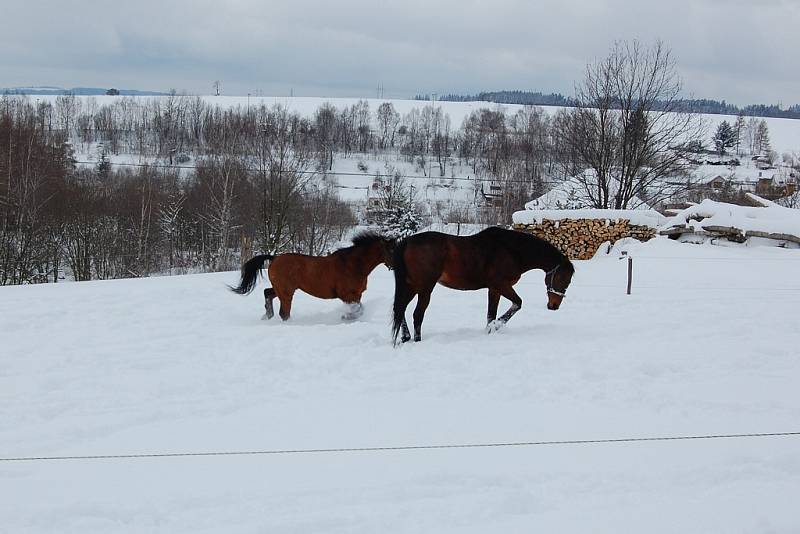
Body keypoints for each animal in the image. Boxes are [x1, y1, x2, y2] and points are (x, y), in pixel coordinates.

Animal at [230, 231, 396, 322]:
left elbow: (359, 309)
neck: (353, 264)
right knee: (284, 313)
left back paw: (267, 315)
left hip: (280, 289)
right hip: (286, 292)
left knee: (268, 294)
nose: (398, 264)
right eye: (391, 250)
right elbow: (358, 310)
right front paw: (346, 317)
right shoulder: (348, 295)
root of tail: (274, 258)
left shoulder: (356, 295)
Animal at [390, 225, 572, 344]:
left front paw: (490, 329)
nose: (554, 305)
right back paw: (417, 340)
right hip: (425, 288)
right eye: (563, 278)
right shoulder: (502, 284)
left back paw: (405, 337)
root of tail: (407, 241)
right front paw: (497, 326)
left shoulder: (494, 289)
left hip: (412, 286)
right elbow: (517, 303)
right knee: (417, 314)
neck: (511, 250)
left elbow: (491, 314)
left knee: (401, 309)